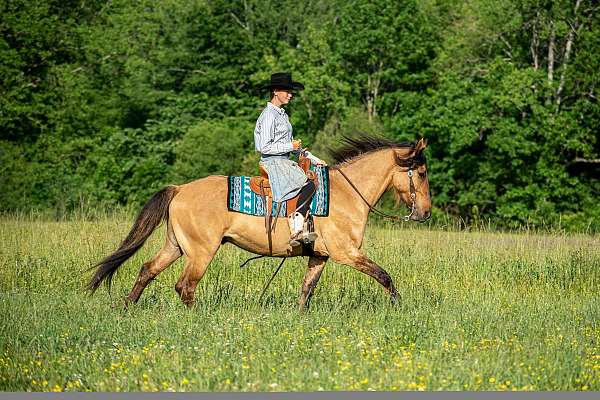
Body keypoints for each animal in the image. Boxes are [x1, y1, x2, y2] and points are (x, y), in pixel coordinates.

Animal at [86, 135, 432, 310]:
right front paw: (400, 308)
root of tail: (180, 189)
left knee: (147, 270)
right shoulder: (346, 253)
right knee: (185, 286)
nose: (425, 213)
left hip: (176, 246)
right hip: (200, 251)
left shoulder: (320, 256)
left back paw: (127, 308)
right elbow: (384, 276)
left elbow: (306, 290)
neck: (347, 194)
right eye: (422, 173)